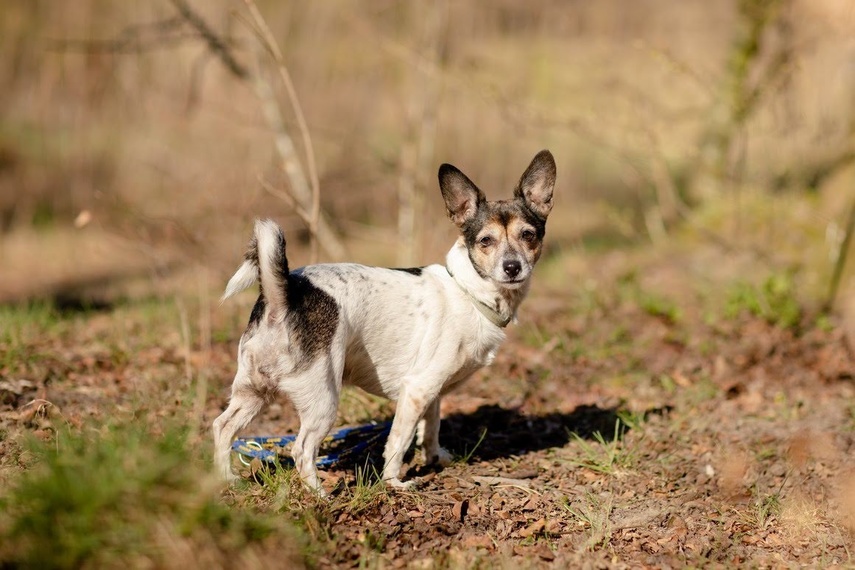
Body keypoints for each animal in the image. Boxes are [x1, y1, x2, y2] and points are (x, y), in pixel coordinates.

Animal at [212, 149, 556, 490]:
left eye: (528, 235)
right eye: (486, 241)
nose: (512, 267)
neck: (470, 292)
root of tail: (283, 295)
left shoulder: (429, 392)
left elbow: (431, 427)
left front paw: (436, 458)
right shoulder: (417, 389)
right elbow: (399, 441)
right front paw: (394, 482)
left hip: (253, 391)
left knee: (222, 426)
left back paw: (227, 478)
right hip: (322, 399)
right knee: (302, 449)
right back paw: (320, 494)